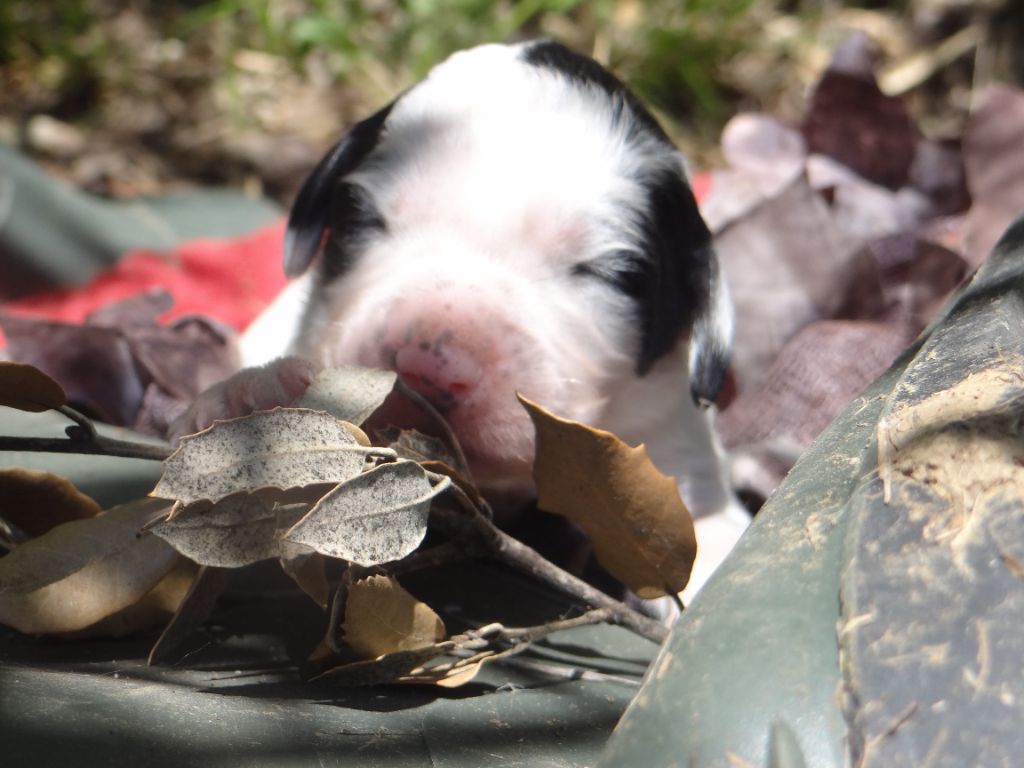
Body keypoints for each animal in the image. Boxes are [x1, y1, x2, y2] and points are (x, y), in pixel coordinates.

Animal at [172, 39, 749, 598]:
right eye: (364, 218)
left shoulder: (668, 443)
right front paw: (254, 406)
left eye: (611, 273)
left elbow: (700, 533)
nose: (426, 369)